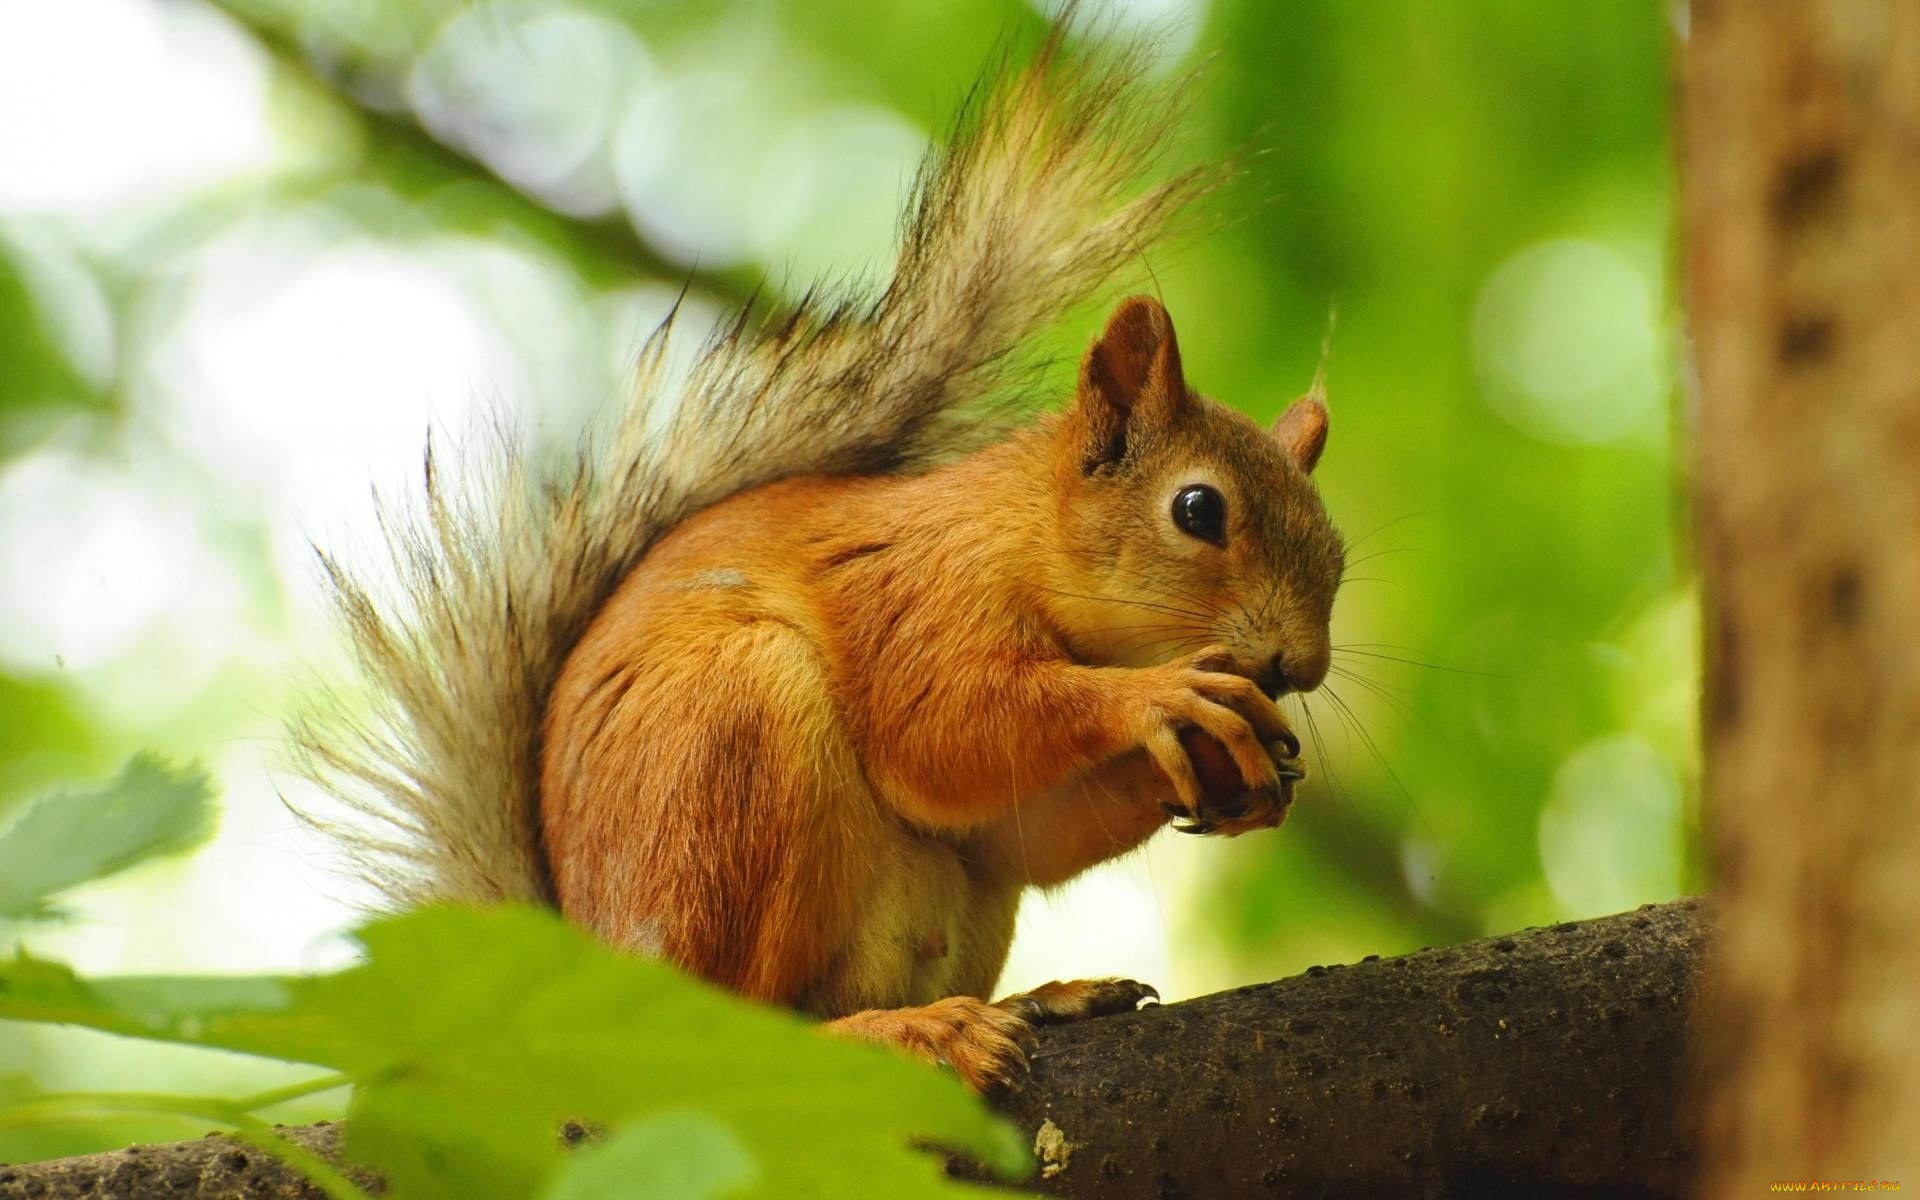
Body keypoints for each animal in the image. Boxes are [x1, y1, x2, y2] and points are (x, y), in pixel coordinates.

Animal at [291, 16, 1344, 1098]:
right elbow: (945, 730)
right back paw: (910, 1031)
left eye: (1337, 546)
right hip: (731, 749)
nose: (1301, 666)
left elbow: (1020, 831)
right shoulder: (915, 596)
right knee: (737, 1028)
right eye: (1198, 509)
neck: (1015, 535)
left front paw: (1240, 771)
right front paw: (1161, 699)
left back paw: (1037, 999)